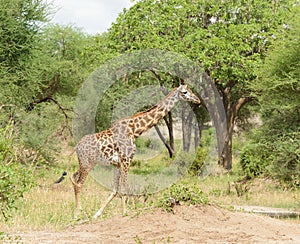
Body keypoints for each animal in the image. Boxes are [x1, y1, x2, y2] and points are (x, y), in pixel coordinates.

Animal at [68, 83, 199, 217]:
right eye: (184, 92)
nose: (197, 100)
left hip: (84, 163)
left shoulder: (117, 164)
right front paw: (125, 212)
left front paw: (97, 214)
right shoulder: (126, 160)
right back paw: (78, 213)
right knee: (79, 183)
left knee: (72, 177)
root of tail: (76, 147)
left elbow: (115, 190)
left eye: (190, 90)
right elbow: (123, 189)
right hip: (87, 164)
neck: (135, 130)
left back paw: (79, 211)